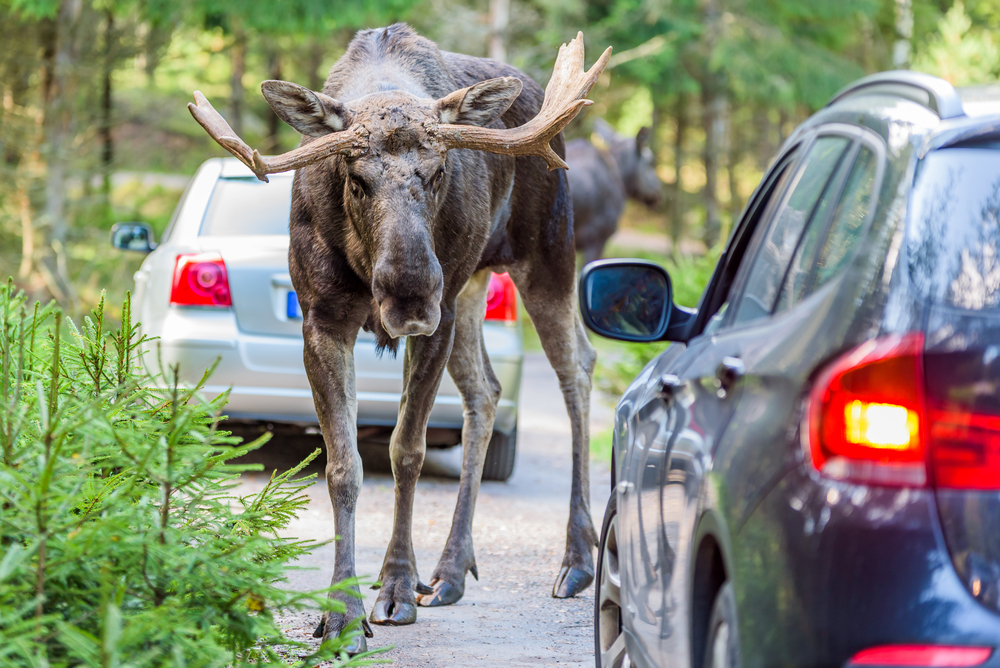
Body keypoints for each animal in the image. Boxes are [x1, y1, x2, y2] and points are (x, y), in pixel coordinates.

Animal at [187, 24, 610, 653]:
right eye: (356, 179)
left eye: (436, 172)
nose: (409, 291)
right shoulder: (323, 320)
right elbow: (343, 467)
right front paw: (341, 614)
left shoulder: (434, 320)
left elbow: (405, 451)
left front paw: (394, 589)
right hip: (469, 287)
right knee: (485, 391)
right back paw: (452, 570)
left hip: (543, 255)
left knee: (576, 367)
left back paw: (576, 560)